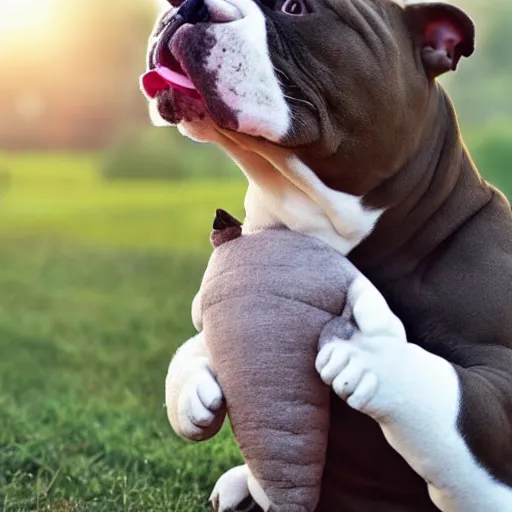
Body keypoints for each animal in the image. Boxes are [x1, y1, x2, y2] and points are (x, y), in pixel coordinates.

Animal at [139, 0, 512, 510]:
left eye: (295, 7)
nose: (184, 6)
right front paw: (191, 374)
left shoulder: (499, 393)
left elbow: (450, 395)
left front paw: (370, 352)